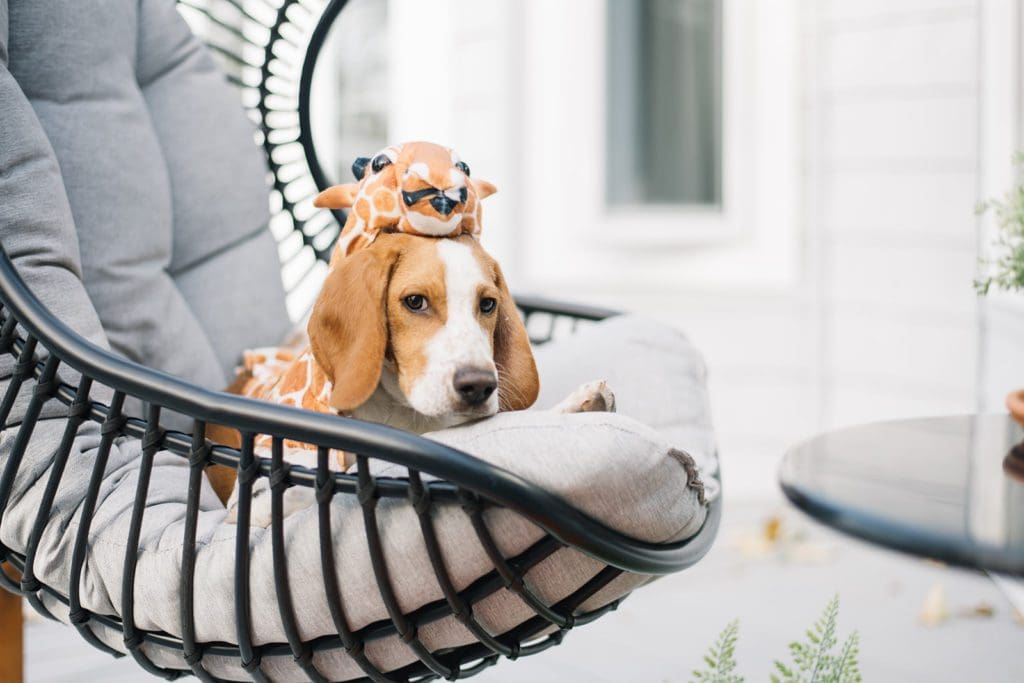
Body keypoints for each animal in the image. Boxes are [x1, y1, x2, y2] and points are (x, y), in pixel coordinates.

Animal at [218, 232, 614, 528]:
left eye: (488, 304)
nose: (479, 386)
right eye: (414, 301)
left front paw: (580, 405)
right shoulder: (251, 503)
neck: (404, 414)